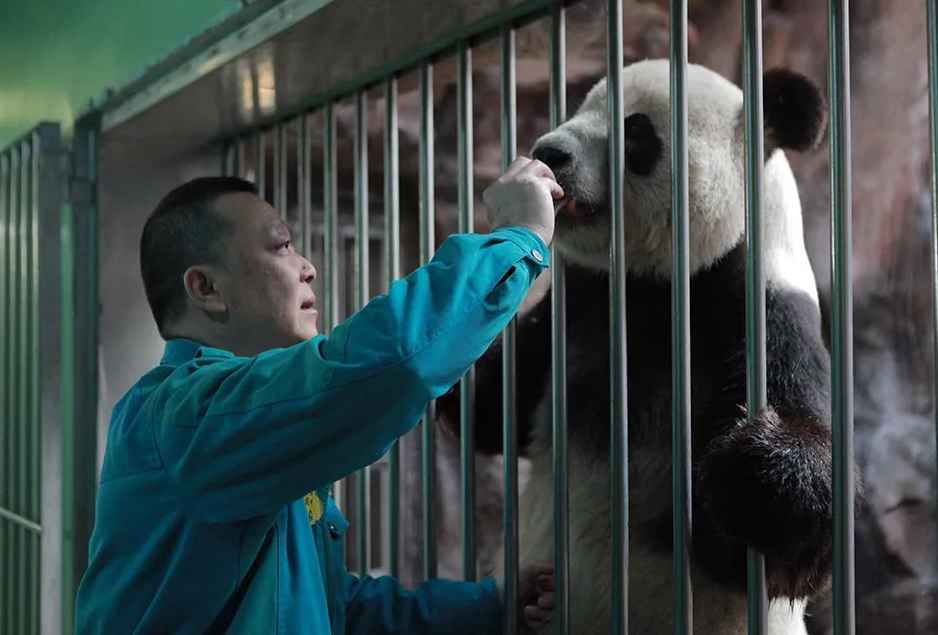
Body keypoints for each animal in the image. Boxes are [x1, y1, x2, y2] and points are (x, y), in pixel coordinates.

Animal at [440, 59, 835, 634]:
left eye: (634, 132)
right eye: (581, 108)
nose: (549, 152)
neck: (655, 284)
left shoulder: (760, 310)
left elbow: (783, 550)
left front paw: (753, 464)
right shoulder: (580, 306)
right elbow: (487, 414)